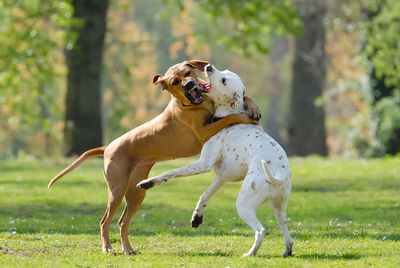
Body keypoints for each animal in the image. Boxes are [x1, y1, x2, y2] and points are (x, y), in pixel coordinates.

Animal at [48, 59, 260, 254]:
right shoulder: (203, 132)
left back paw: (128, 249)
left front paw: (253, 106)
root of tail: (108, 147)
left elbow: (244, 98)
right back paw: (108, 248)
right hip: (116, 190)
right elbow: (230, 117)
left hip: (136, 193)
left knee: (122, 222)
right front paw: (245, 116)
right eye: (175, 82)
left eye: (188, 72)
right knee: (104, 221)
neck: (196, 104)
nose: (189, 85)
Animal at [138, 63, 294, 258]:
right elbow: (204, 195)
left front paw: (148, 182)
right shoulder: (222, 177)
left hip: (244, 205)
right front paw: (197, 217)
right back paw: (287, 250)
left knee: (261, 231)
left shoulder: (203, 164)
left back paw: (250, 254)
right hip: (279, 208)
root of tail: (278, 175)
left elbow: (170, 172)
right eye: (225, 72)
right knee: (287, 234)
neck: (228, 116)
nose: (208, 66)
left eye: (224, 80)